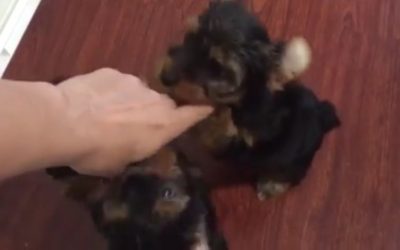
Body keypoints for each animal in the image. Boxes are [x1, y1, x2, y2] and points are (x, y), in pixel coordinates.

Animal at [158, 0, 340, 199]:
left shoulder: (240, 144)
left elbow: (218, 131)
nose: (165, 78)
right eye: (190, 37)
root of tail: (324, 118)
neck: (243, 99)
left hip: (291, 162)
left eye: (217, 68)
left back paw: (272, 185)